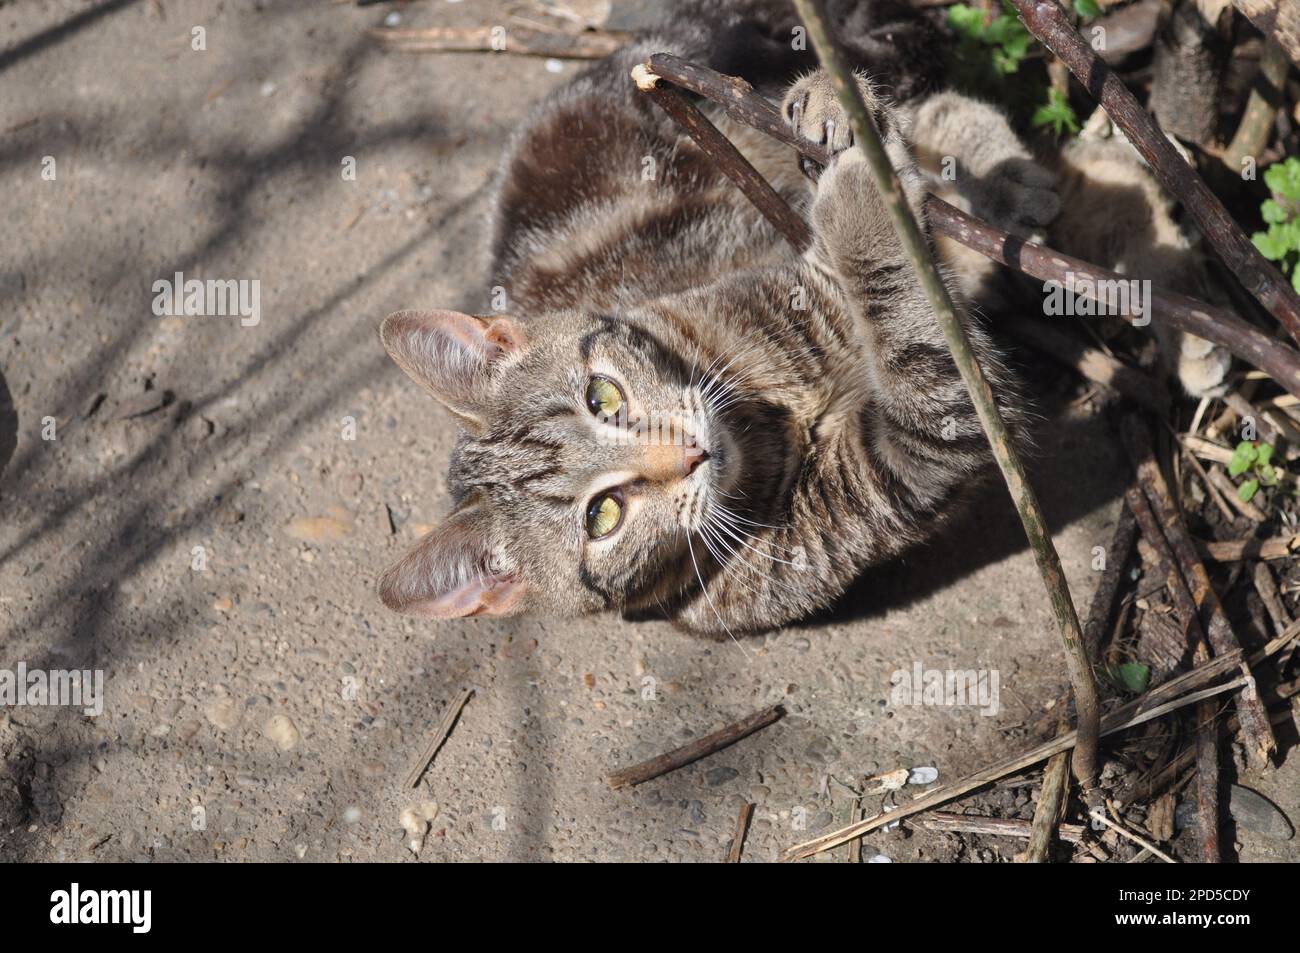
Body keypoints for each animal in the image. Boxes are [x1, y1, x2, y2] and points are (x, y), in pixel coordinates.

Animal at [377, 5, 1227, 639]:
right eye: (603, 515)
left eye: (603, 396)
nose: (687, 453)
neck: (763, 421)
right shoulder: (905, 463)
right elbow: (903, 319)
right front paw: (861, 195)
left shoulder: (798, 271)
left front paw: (847, 149)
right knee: (1065, 172)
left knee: (968, 122)